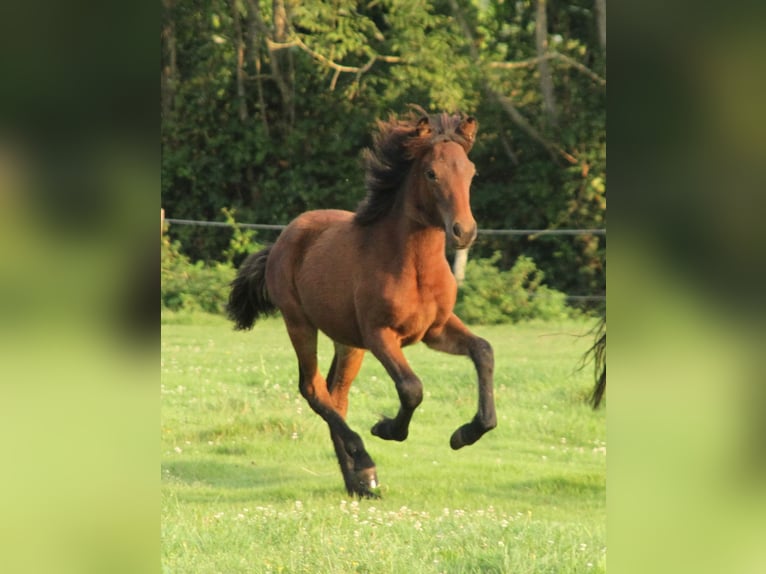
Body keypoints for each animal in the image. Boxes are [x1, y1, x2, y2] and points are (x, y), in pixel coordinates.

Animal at [228, 110, 498, 498]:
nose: (464, 231)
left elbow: (483, 351)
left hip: (348, 342)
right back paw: (364, 462)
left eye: (471, 172)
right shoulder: (379, 335)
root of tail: (283, 238)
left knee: (336, 396)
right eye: (431, 173)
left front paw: (465, 434)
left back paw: (359, 482)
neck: (413, 267)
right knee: (313, 389)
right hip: (300, 324)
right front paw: (386, 429)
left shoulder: (436, 329)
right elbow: (411, 388)